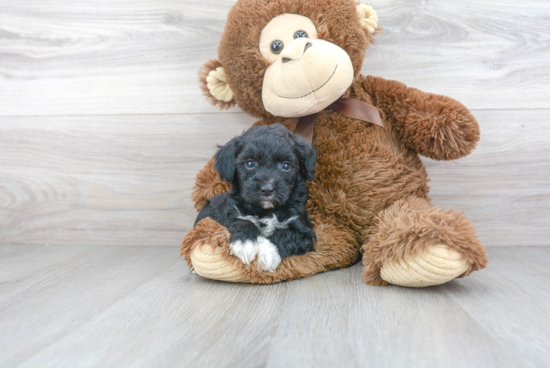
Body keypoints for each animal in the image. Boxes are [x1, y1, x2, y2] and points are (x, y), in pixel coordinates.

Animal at [197, 125, 320, 272]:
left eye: (285, 166)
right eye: (250, 163)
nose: (267, 189)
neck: (267, 210)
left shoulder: (305, 232)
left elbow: (286, 235)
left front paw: (266, 252)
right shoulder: (234, 212)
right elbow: (242, 221)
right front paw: (244, 243)